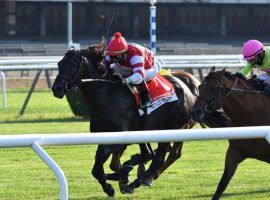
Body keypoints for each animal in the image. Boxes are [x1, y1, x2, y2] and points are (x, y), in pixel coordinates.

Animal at [51, 44, 197, 196]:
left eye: (73, 65)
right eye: (59, 64)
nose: (57, 88)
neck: (107, 96)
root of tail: (188, 88)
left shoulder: (117, 140)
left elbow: (99, 168)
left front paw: (113, 186)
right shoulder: (106, 137)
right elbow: (102, 168)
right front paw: (121, 176)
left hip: (172, 128)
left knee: (161, 158)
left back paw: (140, 179)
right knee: (153, 154)